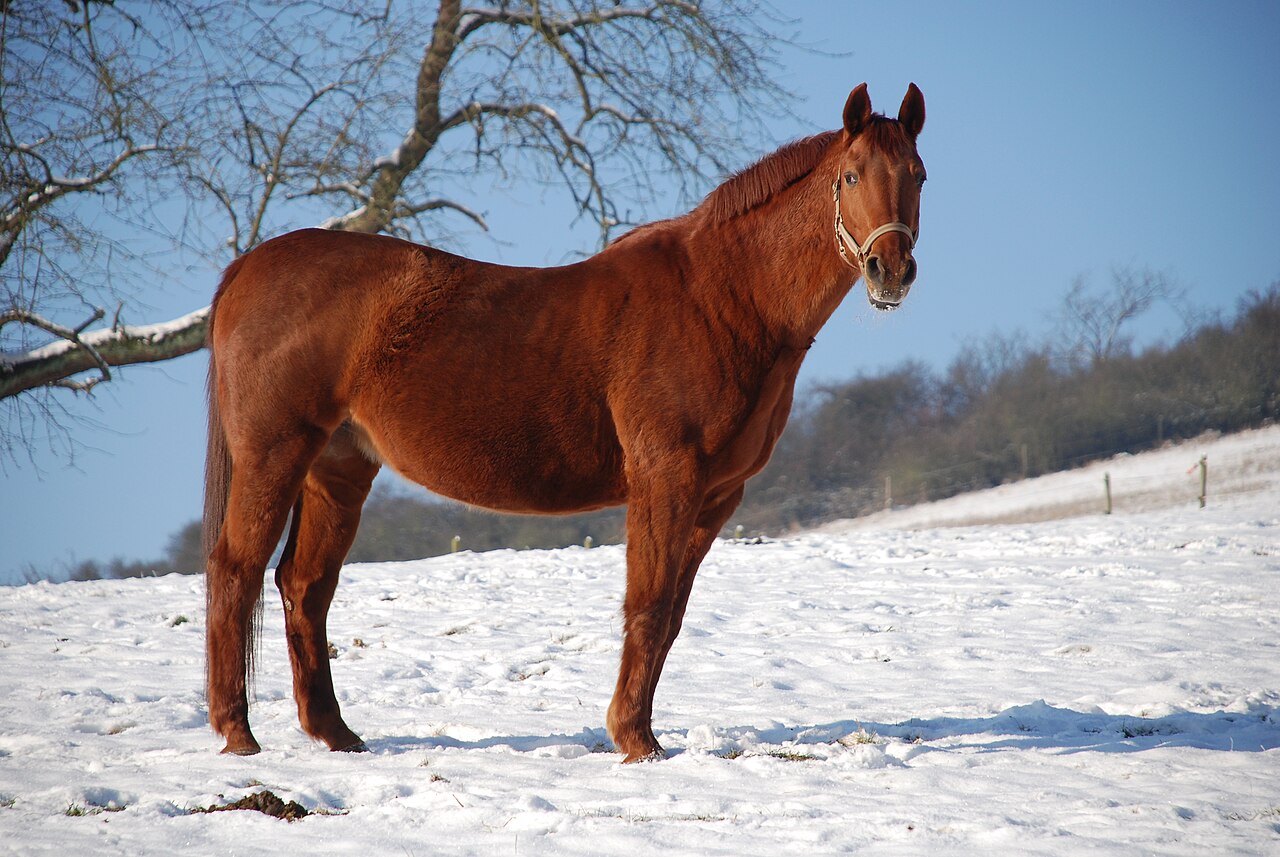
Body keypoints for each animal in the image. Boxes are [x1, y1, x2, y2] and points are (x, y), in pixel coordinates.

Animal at [203, 82, 926, 762]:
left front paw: (639, 733)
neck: (720, 298)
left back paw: (336, 733)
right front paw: (635, 740)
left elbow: (671, 615)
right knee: (235, 568)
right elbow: (648, 602)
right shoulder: (666, 476)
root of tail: (247, 267)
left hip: (338, 468)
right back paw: (237, 732)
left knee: (304, 586)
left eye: (918, 175)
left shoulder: (719, 495)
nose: (890, 271)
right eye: (851, 176)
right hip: (274, 454)